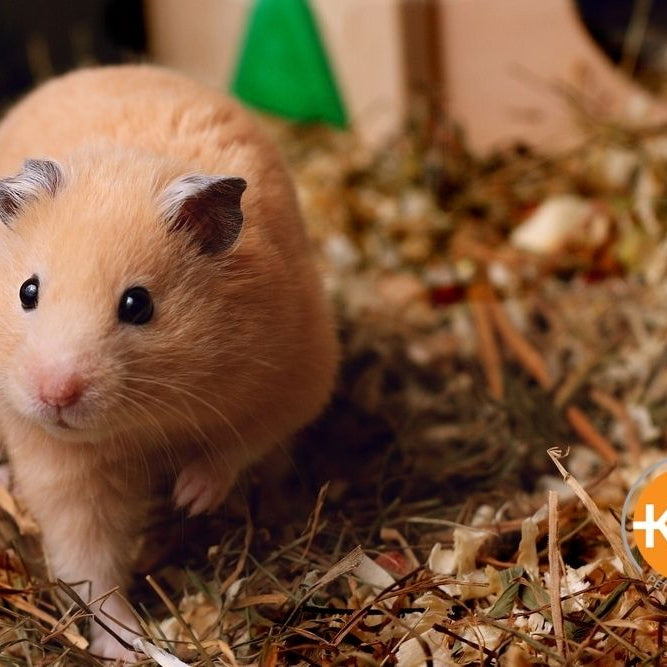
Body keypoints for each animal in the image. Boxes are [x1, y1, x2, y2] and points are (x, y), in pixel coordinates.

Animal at [0, 65, 339, 660]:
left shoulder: (297, 373)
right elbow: (89, 563)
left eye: (138, 305)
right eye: (27, 291)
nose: (55, 395)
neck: (143, 422)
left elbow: (238, 443)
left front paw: (189, 498)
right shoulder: (63, 470)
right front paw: (127, 648)